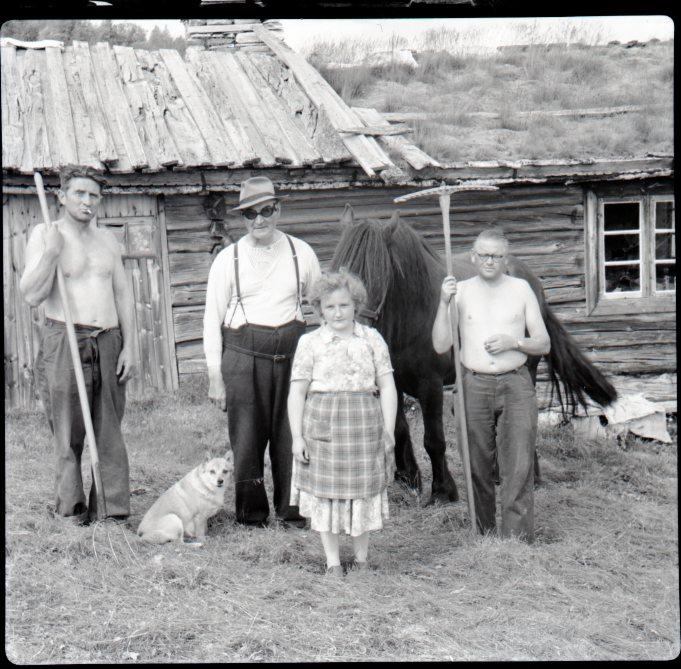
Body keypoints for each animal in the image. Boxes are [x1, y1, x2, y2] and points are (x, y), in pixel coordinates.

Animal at [332, 206, 620, 504]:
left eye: (378, 275)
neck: (413, 314)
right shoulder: (393, 381)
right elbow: (400, 430)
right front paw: (409, 480)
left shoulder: (430, 384)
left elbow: (433, 438)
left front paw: (443, 491)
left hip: (525, 370)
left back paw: (532, 476)